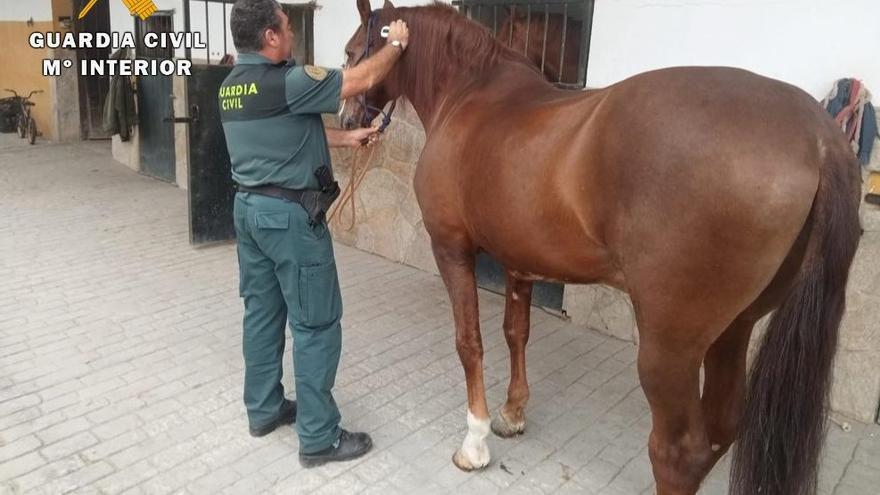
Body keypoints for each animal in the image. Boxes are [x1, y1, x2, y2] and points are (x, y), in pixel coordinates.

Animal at [342, 1, 860, 494]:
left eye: (351, 52)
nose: (348, 119)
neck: (470, 96)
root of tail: (819, 138)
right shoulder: (519, 262)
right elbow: (515, 333)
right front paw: (513, 414)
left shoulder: (451, 248)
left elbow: (470, 342)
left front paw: (475, 441)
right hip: (735, 329)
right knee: (722, 427)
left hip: (668, 349)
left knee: (678, 453)